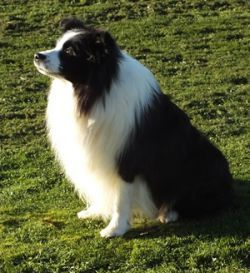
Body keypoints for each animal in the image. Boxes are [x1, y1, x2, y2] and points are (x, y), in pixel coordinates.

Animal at [33, 18, 232, 236]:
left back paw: (168, 213)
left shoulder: (126, 159)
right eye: (58, 45)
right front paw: (94, 211)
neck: (94, 89)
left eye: (70, 51)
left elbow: (120, 199)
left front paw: (115, 229)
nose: (37, 55)